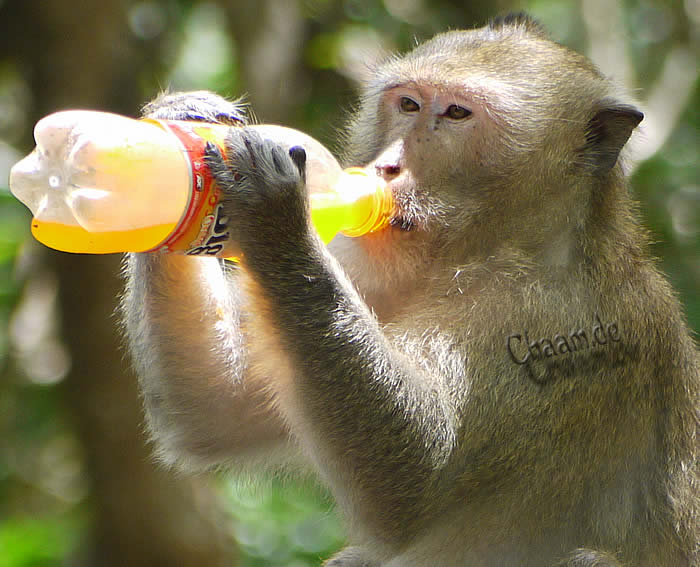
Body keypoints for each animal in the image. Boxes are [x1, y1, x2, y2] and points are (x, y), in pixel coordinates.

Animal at [121, 14, 700, 567]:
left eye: (458, 114)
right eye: (408, 104)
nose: (387, 166)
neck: (499, 246)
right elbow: (217, 411)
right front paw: (182, 122)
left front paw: (274, 210)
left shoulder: (546, 318)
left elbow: (415, 478)